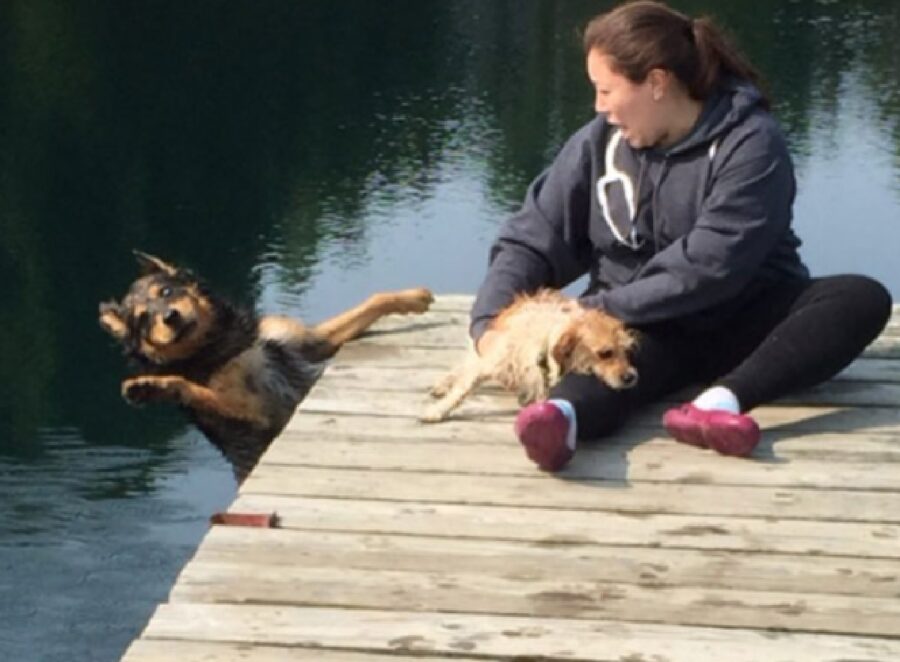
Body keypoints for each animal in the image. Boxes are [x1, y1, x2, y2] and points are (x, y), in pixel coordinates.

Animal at [100, 252, 434, 480]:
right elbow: (186, 386)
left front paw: (413, 298)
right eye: (143, 319)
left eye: (166, 292)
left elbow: (372, 301)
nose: (170, 317)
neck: (227, 344)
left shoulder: (313, 341)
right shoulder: (254, 413)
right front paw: (147, 386)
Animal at [420, 290, 636, 426]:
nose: (631, 377)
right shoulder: (492, 359)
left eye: (627, 351)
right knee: (464, 366)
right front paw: (438, 409)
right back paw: (444, 383)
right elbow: (463, 387)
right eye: (605, 353)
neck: (544, 343)